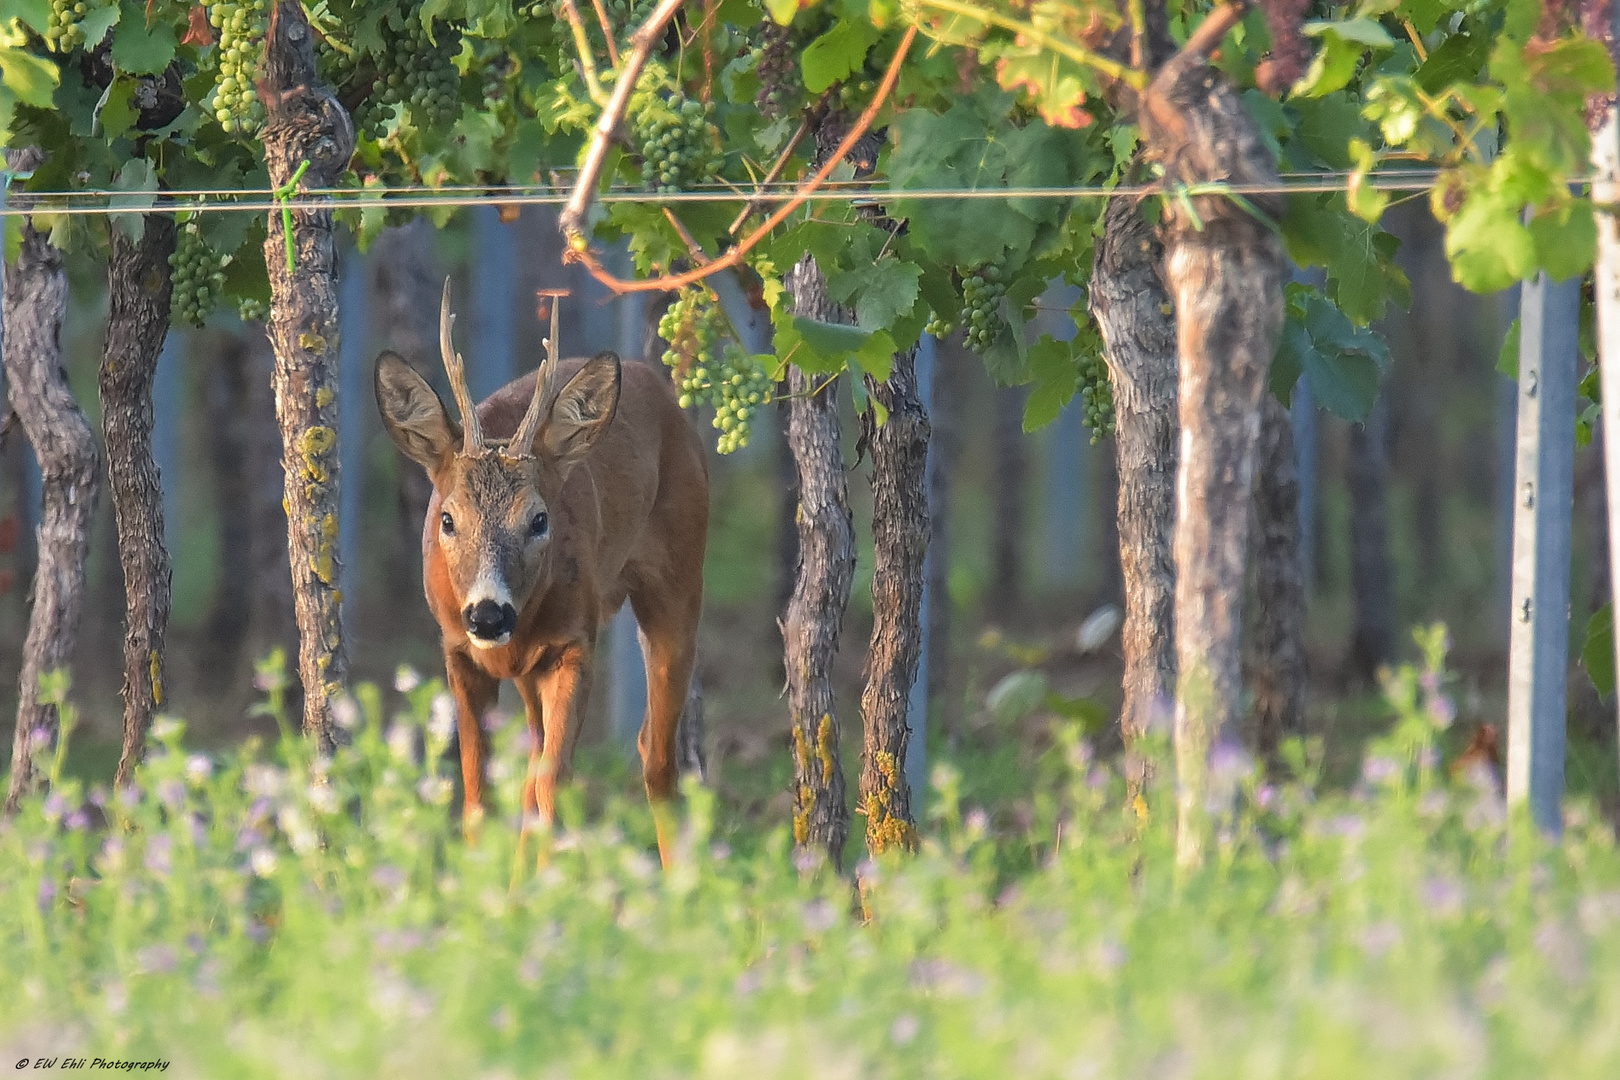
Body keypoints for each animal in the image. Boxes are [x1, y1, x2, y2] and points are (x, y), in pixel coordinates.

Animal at [382, 283, 712, 867]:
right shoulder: (457, 651)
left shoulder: (574, 644)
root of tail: (651, 380)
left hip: (679, 573)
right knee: (539, 767)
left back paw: (679, 880)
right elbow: (478, 797)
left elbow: (553, 789)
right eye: (448, 518)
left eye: (539, 519)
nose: (488, 615)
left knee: (656, 756)